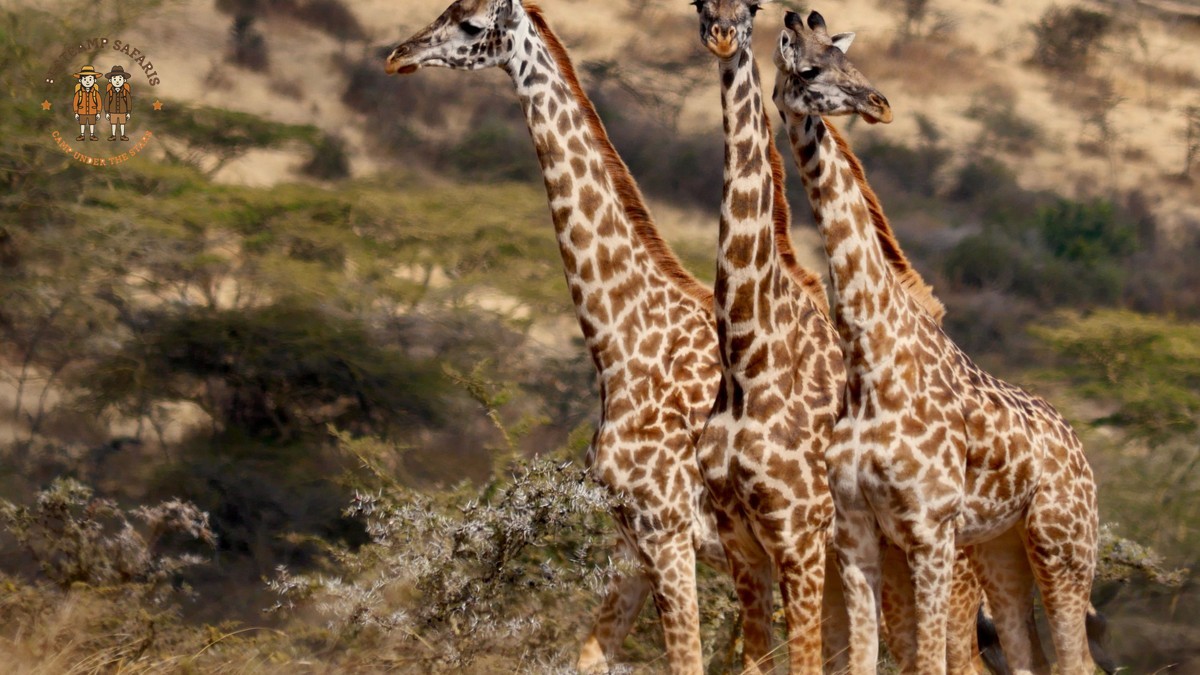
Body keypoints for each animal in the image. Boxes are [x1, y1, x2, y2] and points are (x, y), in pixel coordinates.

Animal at [385, 3, 728, 673]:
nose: (397, 56)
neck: (623, 347)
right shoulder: (632, 538)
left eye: (470, 23)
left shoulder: (670, 533)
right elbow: (589, 655)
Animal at [772, 10, 1100, 675]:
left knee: (1076, 660)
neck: (870, 359)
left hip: (1062, 545)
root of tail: (1081, 455)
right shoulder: (856, 531)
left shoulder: (928, 529)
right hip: (1004, 549)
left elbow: (926, 661)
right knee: (1030, 658)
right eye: (811, 68)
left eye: (849, 58)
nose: (880, 103)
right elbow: (863, 660)